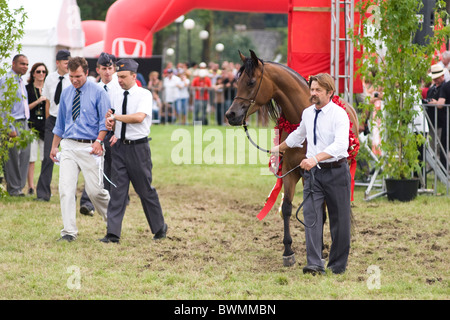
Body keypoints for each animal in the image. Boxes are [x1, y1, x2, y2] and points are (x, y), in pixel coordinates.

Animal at [225, 50, 358, 268]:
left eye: (251, 82)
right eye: (238, 81)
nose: (231, 114)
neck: (300, 117)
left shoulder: (311, 173)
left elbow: (319, 211)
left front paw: (318, 250)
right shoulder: (290, 171)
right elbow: (287, 208)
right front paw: (288, 251)